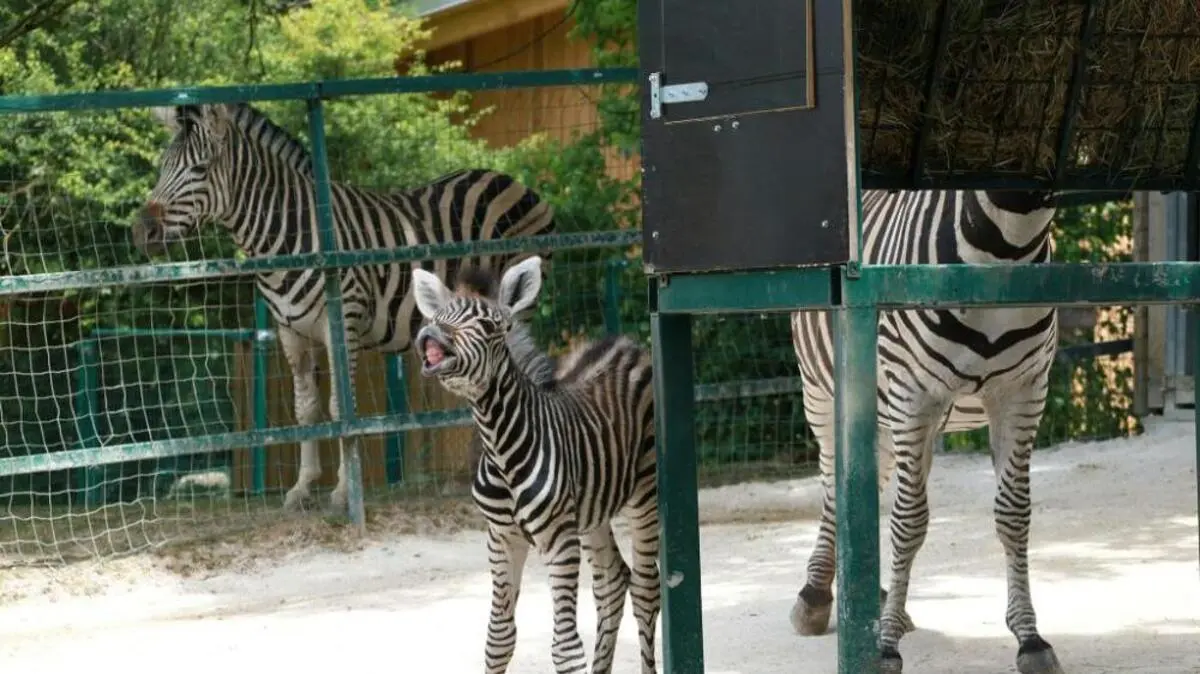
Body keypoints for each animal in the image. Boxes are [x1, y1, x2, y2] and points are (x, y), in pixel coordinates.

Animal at [133, 103, 555, 512]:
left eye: (199, 170)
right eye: (163, 166)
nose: (143, 232)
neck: (288, 235)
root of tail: (509, 179)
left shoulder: (342, 322)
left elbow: (340, 409)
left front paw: (342, 492)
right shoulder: (290, 331)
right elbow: (305, 409)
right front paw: (301, 489)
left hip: (515, 311)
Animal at [412, 256, 659, 674]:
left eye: (489, 326)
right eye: (440, 316)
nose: (429, 336)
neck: (500, 449)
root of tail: (625, 343)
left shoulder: (559, 538)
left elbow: (565, 649)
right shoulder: (501, 537)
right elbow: (498, 639)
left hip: (647, 491)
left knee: (645, 589)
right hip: (591, 512)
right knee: (612, 582)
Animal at [789, 189, 1065, 674]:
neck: (1005, 248)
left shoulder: (1023, 392)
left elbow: (1014, 515)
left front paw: (1030, 639)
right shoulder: (913, 395)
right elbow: (909, 521)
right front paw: (884, 646)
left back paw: (878, 601)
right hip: (823, 393)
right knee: (834, 489)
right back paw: (817, 596)